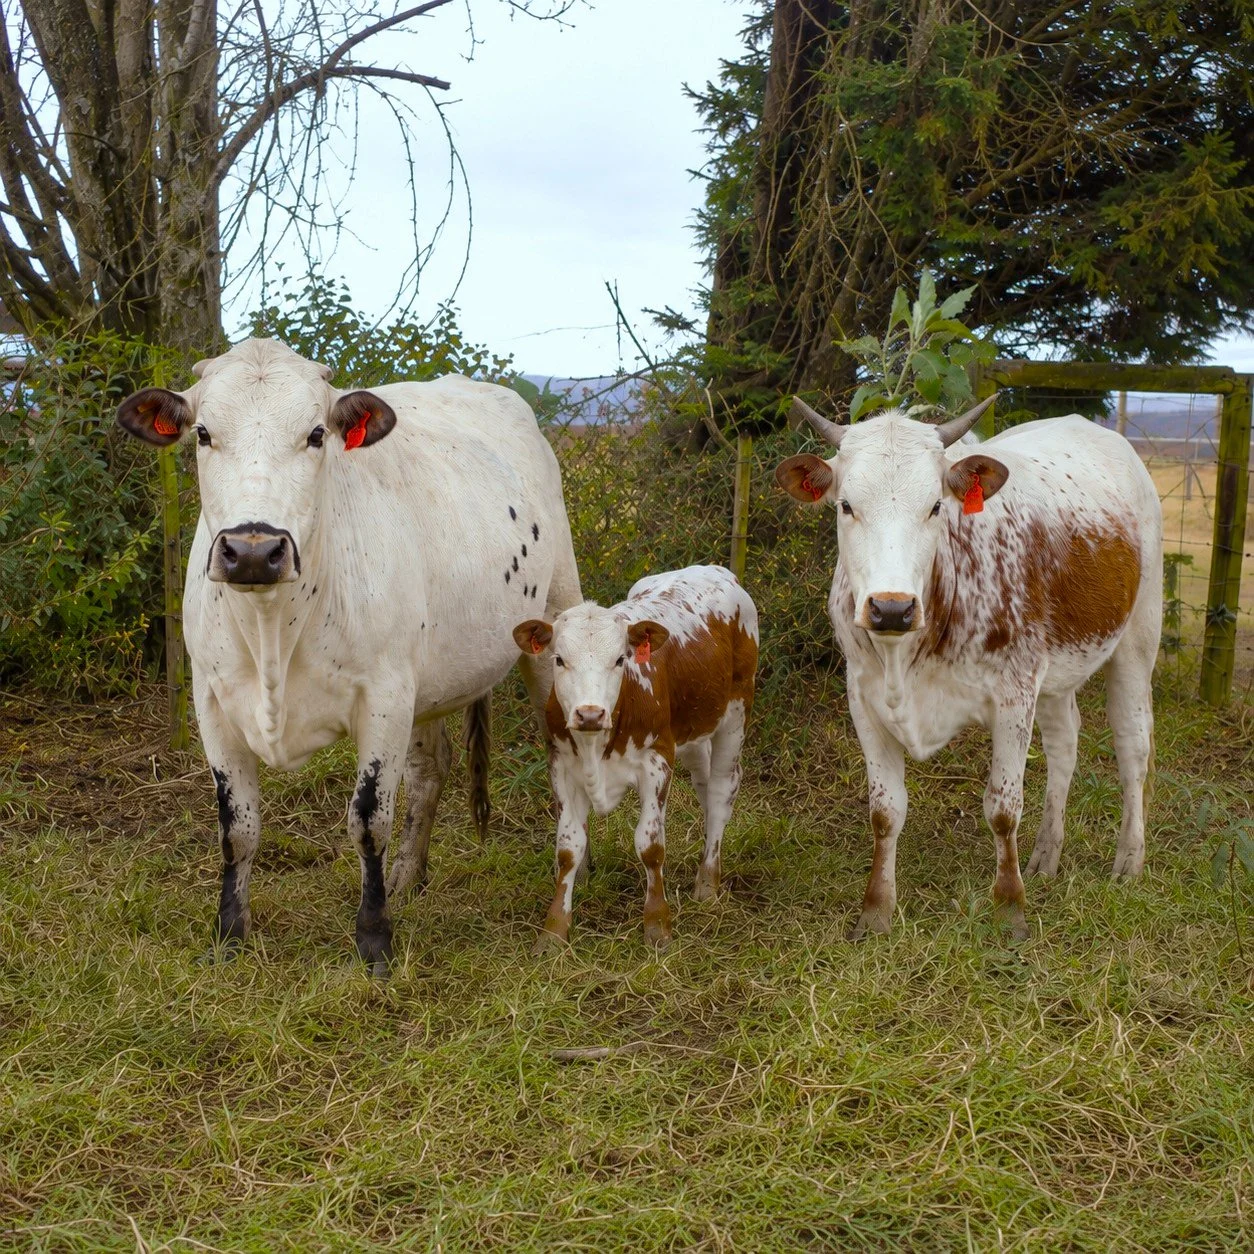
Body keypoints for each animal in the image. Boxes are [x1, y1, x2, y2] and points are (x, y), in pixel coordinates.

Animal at [116, 339, 581, 974]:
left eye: (317, 433)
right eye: (204, 433)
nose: (254, 550)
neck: (273, 629)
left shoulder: (383, 698)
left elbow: (368, 821)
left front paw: (374, 938)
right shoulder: (211, 701)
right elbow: (238, 827)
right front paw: (229, 935)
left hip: (553, 625)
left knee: (565, 763)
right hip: (427, 683)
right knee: (431, 770)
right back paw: (408, 877)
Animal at [512, 565, 759, 951]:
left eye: (620, 659)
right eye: (559, 659)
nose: (589, 713)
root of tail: (712, 569)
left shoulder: (657, 761)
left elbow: (650, 845)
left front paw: (657, 926)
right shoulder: (562, 767)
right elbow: (568, 849)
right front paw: (553, 933)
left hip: (736, 709)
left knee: (721, 791)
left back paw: (707, 883)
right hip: (692, 730)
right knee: (704, 785)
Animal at [775, 396, 1162, 941]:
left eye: (936, 506)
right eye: (846, 505)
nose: (891, 609)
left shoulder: (1014, 694)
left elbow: (1002, 808)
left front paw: (1010, 910)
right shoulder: (862, 698)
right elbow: (885, 812)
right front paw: (876, 911)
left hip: (1137, 637)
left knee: (1132, 745)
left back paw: (1129, 859)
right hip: (1056, 674)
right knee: (1064, 744)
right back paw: (1046, 854)